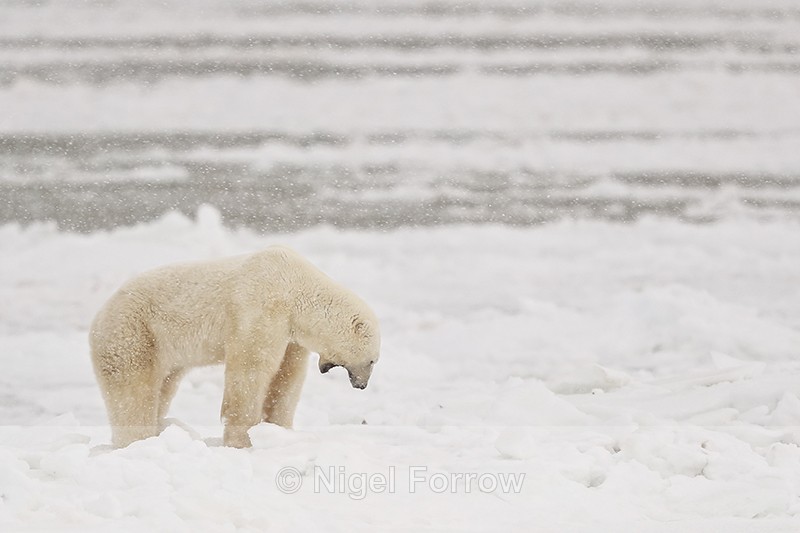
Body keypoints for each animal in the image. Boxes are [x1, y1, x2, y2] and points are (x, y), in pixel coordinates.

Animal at [89, 245, 380, 448]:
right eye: (372, 361)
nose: (362, 385)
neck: (295, 286)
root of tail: (98, 318)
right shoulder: (261, 307)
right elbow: (251, 369)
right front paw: (241, 440)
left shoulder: (290, 334)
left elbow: (286, 378)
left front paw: (280, 430)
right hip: (134, 335)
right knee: (133, 393)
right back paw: (137, 440)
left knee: (164, 385)